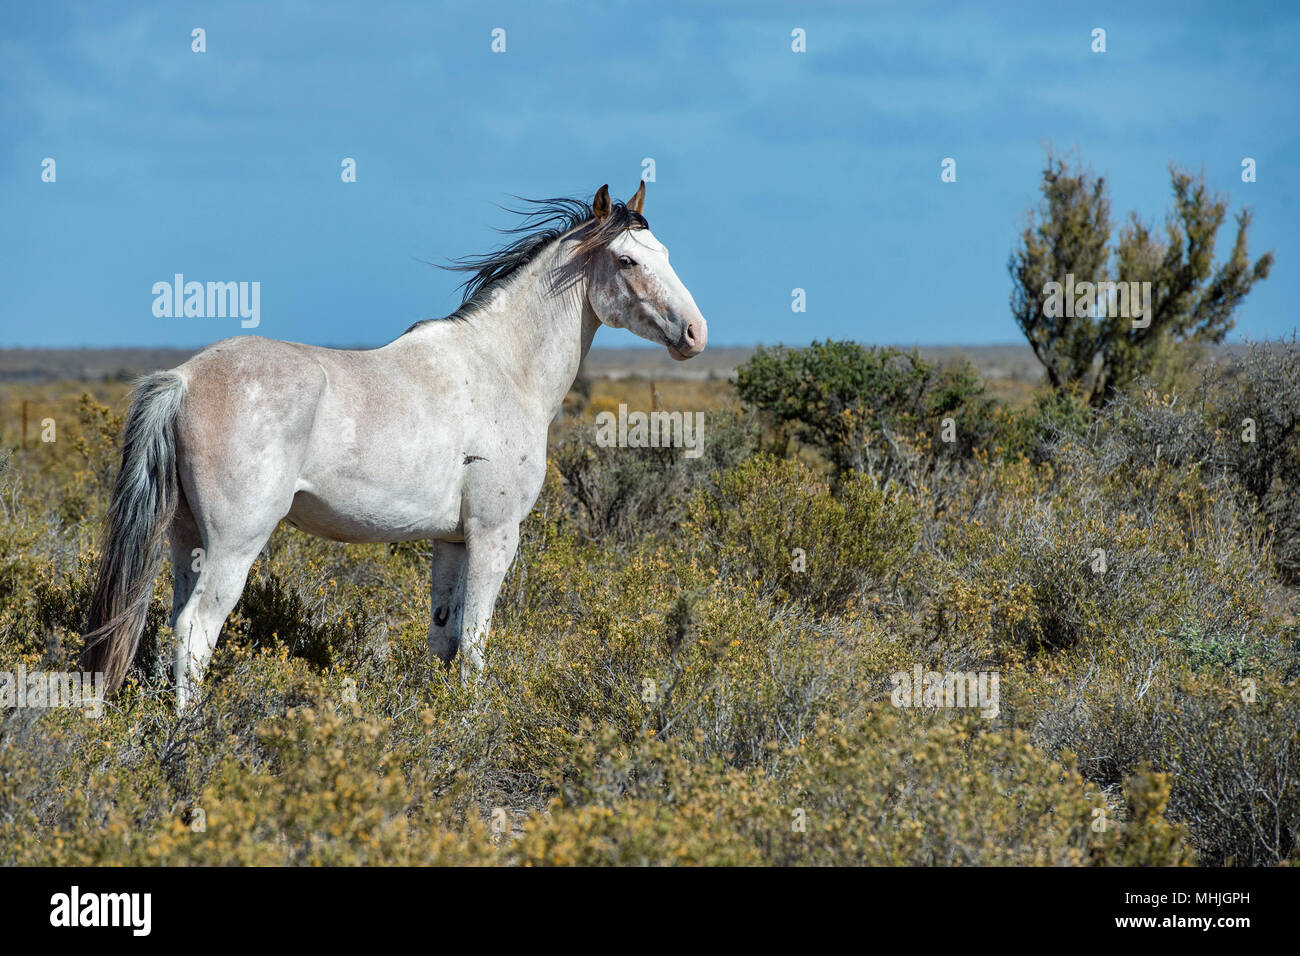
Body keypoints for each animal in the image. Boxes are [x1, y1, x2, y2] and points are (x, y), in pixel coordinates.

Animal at [78, 184, 712, 712]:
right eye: (627, 260)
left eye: (666, 253)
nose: (695, 334)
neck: (503, 367)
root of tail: (183, 379)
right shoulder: (494, 534)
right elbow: (476, 640)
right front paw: (474, 722)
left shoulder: (451, 541)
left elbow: (444, 637)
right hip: (235, 544)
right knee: (195, 630)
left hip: (186, 539)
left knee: (172, 621)